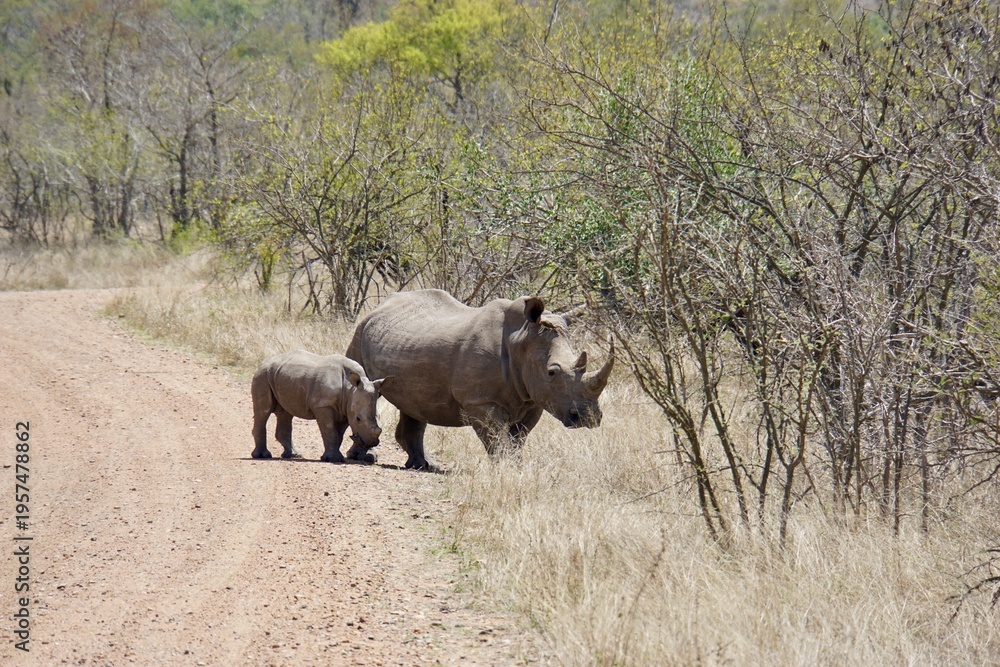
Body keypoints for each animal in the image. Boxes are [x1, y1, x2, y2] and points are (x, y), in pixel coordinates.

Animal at [251, 349, 391, 463]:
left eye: (378, 417)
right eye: (358, 419)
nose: (371, 442)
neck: (351, 389)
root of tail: (265, 362)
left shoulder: (345, 407)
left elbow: (338, 435)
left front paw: (331, 457)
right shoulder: (323, 405)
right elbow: (330, 431)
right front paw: (333, 459)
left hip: (282, 375)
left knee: (285, 413)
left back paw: (294, 455)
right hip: (262, 375)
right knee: (263, 411)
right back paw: (262, 456)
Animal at [346, 289, 613, 469]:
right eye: (552, 372)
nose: (588, 419)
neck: (521, 340)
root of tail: (380, 306)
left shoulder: (533, 399)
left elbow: (518, 440)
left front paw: (517, 469)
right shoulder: (481, 401)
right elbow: (497, 439)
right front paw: (504, 471)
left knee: (413, 405)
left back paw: (424, 465)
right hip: (359, 333)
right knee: (363, 388)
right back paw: (364, 458)